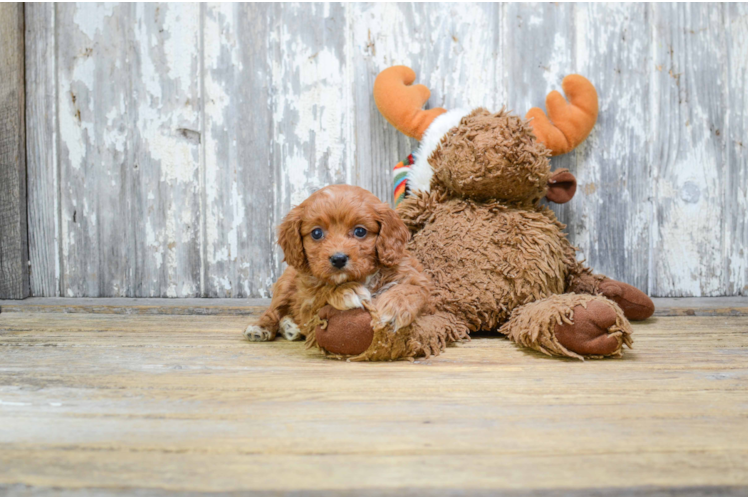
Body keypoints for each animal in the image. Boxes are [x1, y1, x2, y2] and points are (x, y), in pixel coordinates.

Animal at [245, 184, 432, 348]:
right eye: (317, 233)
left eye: (360, 231)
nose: (339, 259)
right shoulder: (307, 303)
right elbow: (322, 292)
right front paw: (346, 290)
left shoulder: (415, 277)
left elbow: (413, 289)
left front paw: (394, 308)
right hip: (284, 285)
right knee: (273, 311)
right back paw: (261, 328)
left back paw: (290, 327)